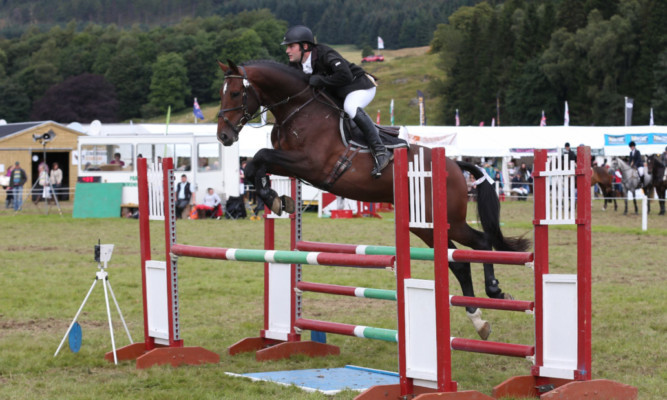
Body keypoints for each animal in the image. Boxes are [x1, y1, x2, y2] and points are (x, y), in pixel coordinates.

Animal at [217, 59, 528, 340]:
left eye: (235, 92)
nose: (223, 136)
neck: (297, 109)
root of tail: (454, 164)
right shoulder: (291, 164)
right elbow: (255, 166)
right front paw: (277, 199)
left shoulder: (310, 164)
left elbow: (259, 157)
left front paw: (274, 198)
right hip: (423, 224)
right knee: (469, 253)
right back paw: (483, 312)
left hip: (439, 220)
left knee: (474, 249)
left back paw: (488, 300)